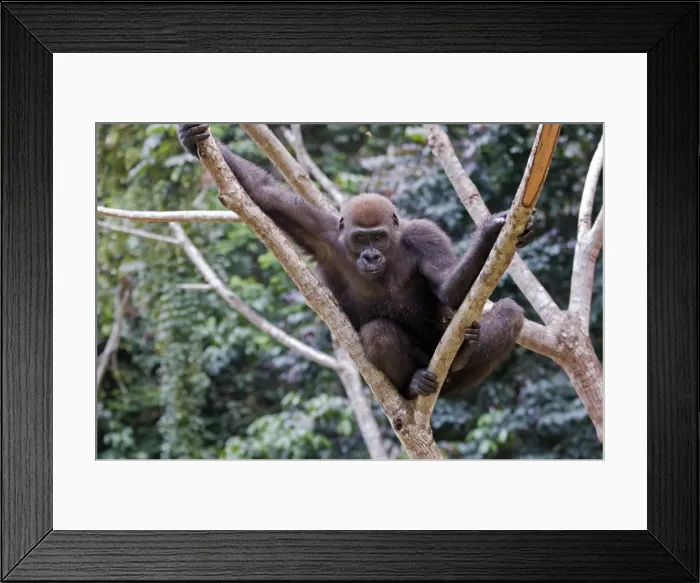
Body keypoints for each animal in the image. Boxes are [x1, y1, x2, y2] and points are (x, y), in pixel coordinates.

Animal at [178, 124, 530, 400]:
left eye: (379, 238)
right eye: (360, 239)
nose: (370, 255)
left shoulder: (423, 235)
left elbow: (446, 288)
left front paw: (489, 233)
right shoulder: (324, 232)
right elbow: (265, 195)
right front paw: (191, 139)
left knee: (509, 314)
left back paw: (462, 354)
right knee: (378, 333)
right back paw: (413, 384)